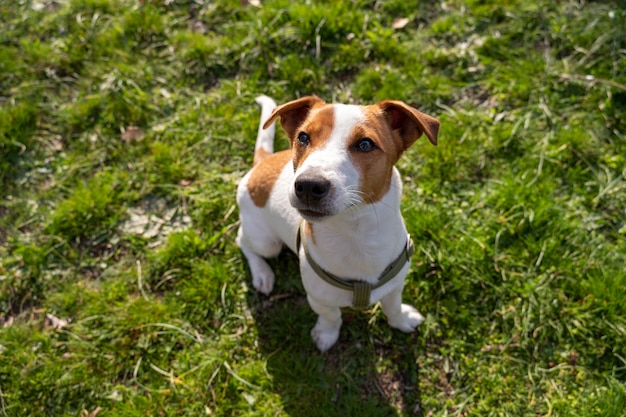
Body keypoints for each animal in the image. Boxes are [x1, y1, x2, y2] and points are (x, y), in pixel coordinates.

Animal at [235, 95, 438, 352]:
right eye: (303, 137)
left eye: (365, 144)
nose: (308, 185)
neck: (354, 232)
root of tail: (262, 163)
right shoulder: (318, 298)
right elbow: (331, 316)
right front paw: (326, 335)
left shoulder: (395, 286)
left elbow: (393, 306)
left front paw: (402, 320)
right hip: (266, 243)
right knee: (242, 241)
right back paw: (262, 273)